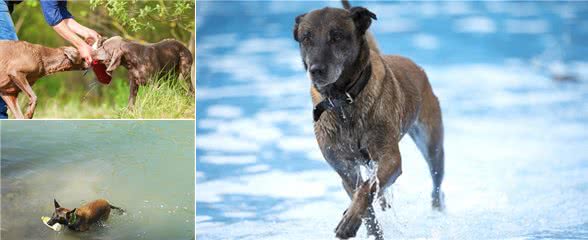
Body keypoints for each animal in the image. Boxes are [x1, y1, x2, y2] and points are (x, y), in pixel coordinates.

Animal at [294, 0, 446, 239]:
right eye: (306, 38)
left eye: (337, 36)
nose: (316, 70)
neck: (343, 101)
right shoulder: (346, 170)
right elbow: (365, 200)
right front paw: (361, 224)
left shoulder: (390, 159)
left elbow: (367, 189)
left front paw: (349, 220)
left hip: (432, 144)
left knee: (437, 182)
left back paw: (437, 209)